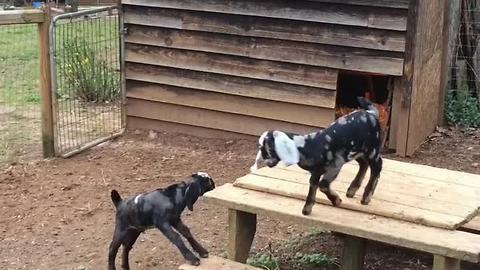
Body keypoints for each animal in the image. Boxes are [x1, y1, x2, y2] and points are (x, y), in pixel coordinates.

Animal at [251, 97, 382, 215]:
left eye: (267, 148)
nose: (263, 162)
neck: (307, 146)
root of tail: (371, 113)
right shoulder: (316, 172)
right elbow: (313, 185)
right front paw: (307, 208)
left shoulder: (335, 165)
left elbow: (322, 185)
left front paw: (336, 201)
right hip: (357, 150)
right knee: (364, 164)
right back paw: (352, 189)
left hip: (372, 149)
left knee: (377, 167)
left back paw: (366, 196)